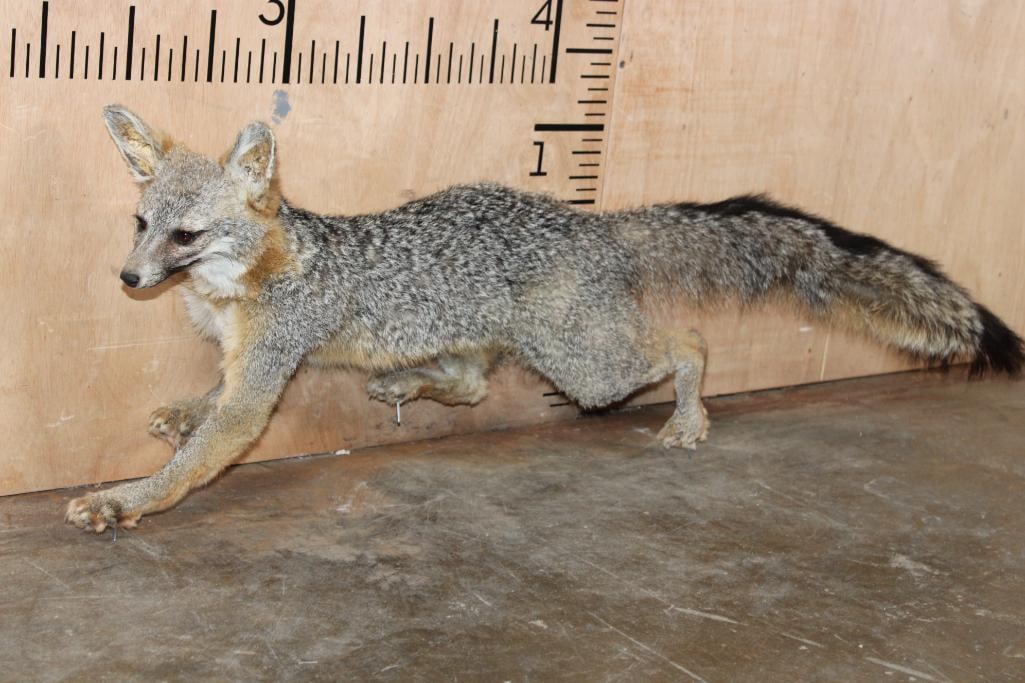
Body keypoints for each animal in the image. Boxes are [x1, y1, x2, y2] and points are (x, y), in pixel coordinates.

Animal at [65, 105, 1025, 533]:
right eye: (140, 222)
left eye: (185, 234)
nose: (127, 276)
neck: (232, 285)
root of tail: (590, 220)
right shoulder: (239, 365)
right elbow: (204, 407)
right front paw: (176, 412)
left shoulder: (262, 380)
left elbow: (200, 457)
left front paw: (124, 499)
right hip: (508, 342)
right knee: (467, 381)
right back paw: (407, 381)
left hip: (585, 367)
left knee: (683, 341)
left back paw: (689, 413)